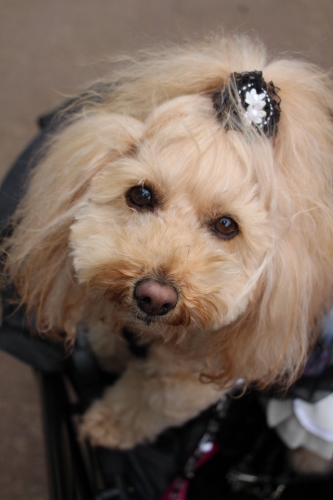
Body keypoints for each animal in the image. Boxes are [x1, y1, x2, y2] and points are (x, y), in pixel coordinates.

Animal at [3, 35, 332, 472]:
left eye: (227, 225)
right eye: (141, 194)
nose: (155, 297)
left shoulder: (195, 377)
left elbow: (146, 403)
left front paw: (105, 425)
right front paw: (108, 349)